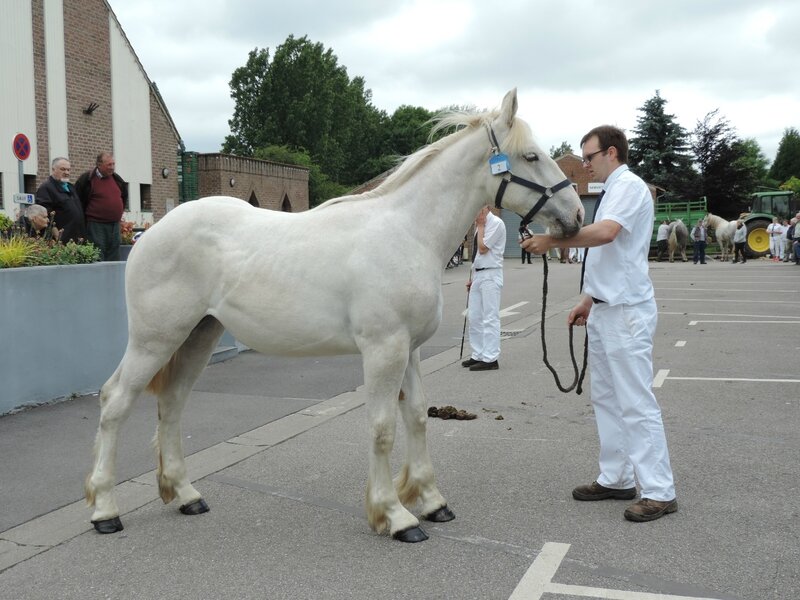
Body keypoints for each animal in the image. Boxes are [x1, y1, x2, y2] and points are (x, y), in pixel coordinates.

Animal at [84, 90, 584, 544]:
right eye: (530, 156)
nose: (577, 215)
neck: (408, 232)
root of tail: (149, 233)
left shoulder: (410, 349)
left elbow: (417, 417)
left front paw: (431, 501)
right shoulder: (384, 349)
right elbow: (382, 427)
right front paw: (395, 516)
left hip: (198, 337)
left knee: (172, 404)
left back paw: (186, 495)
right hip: (155, 339)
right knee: (115, 401)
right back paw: (105, 509)